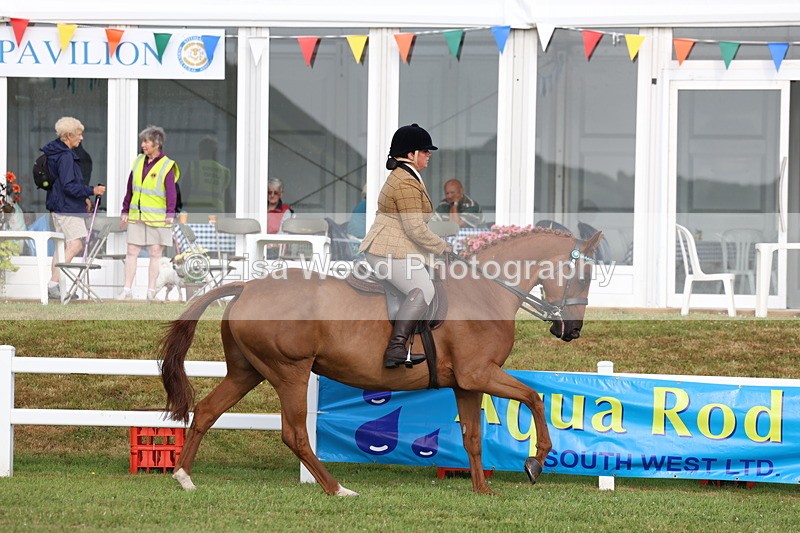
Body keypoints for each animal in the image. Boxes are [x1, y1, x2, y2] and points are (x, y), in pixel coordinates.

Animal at [159, 226, 603, 496]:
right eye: (583, 276)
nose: (572, 330)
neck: (487, 291)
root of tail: (247, 286)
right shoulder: (481, 373)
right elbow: (534, 398)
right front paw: (536, 462)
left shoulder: (467, 382)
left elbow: (473, 437)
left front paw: (482, 490)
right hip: (290, 372)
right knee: (295, 434)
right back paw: (337, 488)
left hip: (247, 371)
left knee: (207, 411)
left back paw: (184, 477)